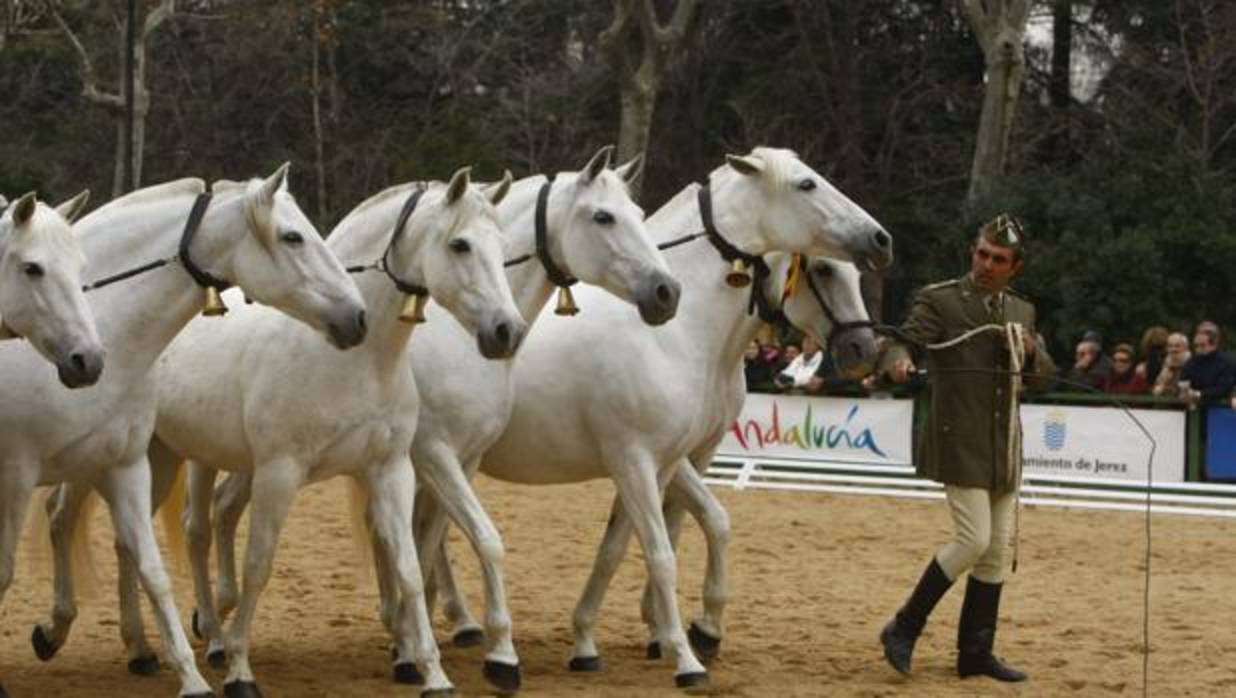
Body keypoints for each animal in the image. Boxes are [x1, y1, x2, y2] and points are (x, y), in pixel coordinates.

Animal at [145, 169, 521, 696]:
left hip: (166, 458)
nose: (506, 330)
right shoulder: (281, 473)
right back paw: (206, 645)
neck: (354, 360)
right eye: (460, 244)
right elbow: (259, 565)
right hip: (182, 459)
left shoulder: (391, 469)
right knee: (193, 532)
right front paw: (241, 670)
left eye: (502, 245)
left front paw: (433, 673)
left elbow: (409, 568)